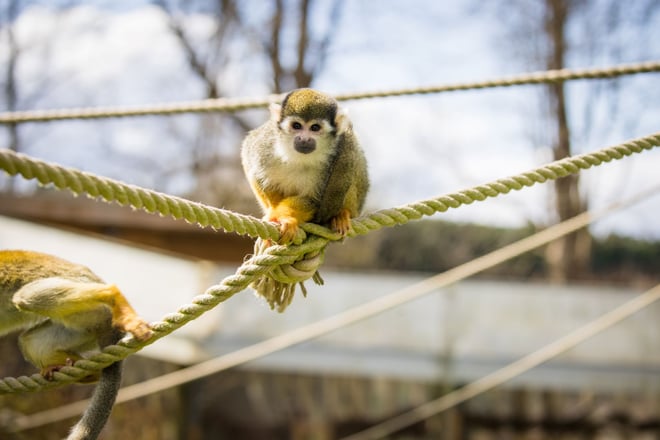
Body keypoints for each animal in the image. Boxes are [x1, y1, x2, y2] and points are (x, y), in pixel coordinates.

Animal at [0, 250, 152, 440]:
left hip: (87, 298)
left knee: (25, 297)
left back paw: (112, 294)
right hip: (87, 324)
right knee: (29, 341)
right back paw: (83, 371)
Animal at [241, 88, 369, 244]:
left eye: (315, 127)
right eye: (296, 126)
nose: (304, 139)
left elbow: (314, 201)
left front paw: (283, 216)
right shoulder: (265, 142)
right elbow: (251, 163)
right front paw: (274, 212)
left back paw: (342, 214)